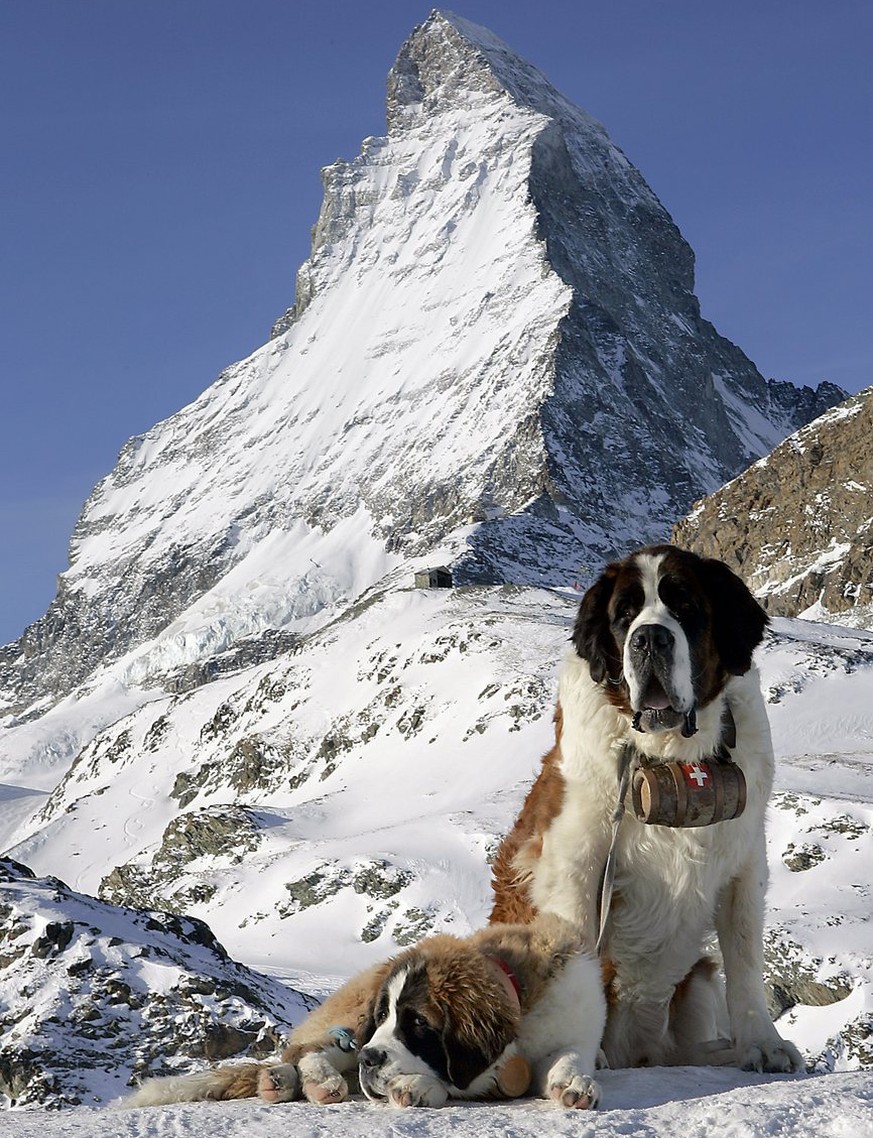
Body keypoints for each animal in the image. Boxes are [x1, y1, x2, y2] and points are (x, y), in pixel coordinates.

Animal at [129, 914, 610, 1110]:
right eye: (385, 1018)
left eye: (418, 1023)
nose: (369, 1059)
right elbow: (457, 1080)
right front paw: (416, 1088)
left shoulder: (576, 1020)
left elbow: (571, 1055)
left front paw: (574, 1082)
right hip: (350, 1018)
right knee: (307, 1051)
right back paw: (303, 1080)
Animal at [491, 541, 805, 1074]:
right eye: (625, 615)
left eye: (686, 607)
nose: (650, 639)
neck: (671, 753)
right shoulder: (574, 860)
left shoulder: (745, 859)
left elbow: (744, 959)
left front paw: (764, 1044)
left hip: (695, 981)